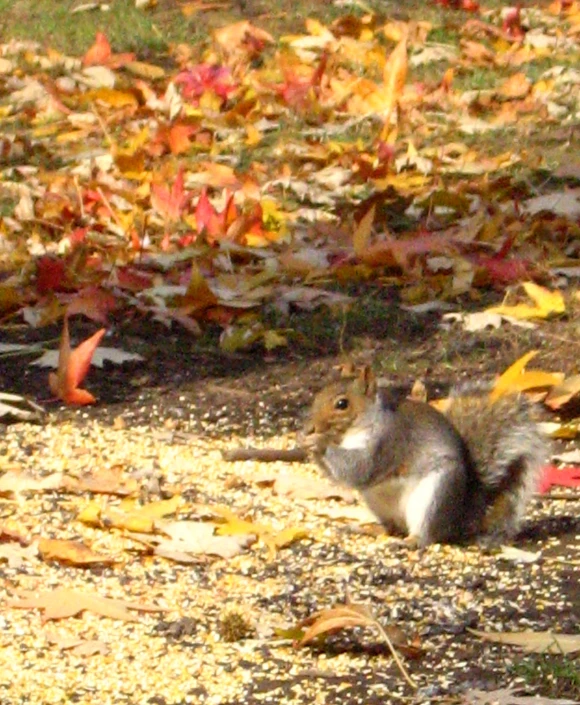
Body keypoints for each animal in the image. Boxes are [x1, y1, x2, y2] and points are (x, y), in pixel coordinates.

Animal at [302, 366, 552, 548]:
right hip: (378, 503)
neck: (354, 431)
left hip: (433, 496)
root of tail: (457, 517)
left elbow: (360, 469)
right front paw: (304, 440)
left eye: (342, 404)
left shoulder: (388, 442)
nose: (310, 427)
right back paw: (369, 528)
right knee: (391, 527)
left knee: (426, 535)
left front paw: (319, 443)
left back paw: (411, 541)